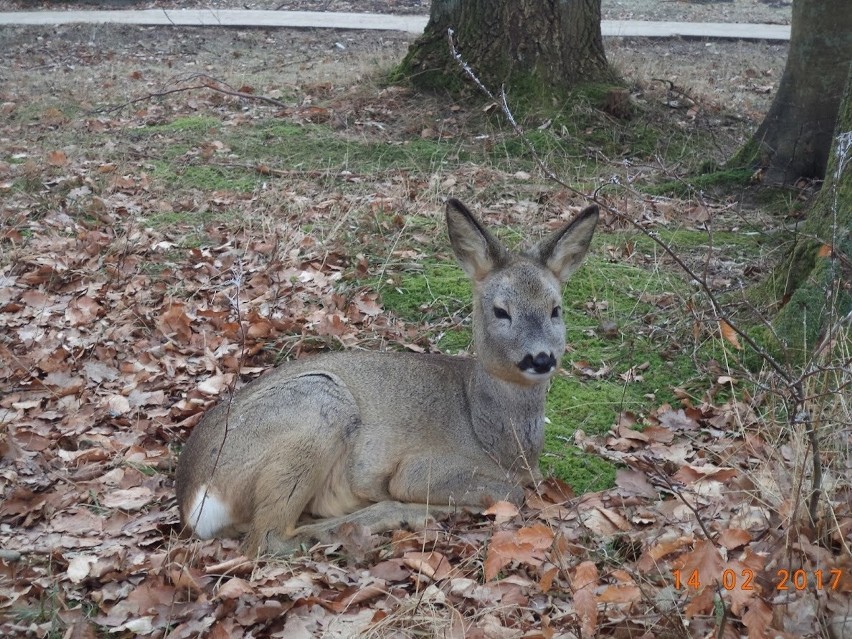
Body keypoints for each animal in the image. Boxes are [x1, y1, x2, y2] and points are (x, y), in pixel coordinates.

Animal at [174, 199, 600, 556]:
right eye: (500, 311)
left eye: (556, 309)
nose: (540, 358)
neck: (496, 440)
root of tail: (193, 497)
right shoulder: (421, 466)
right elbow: (512, 493)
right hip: (318, 404)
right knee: (267, 539)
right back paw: (403, 514)